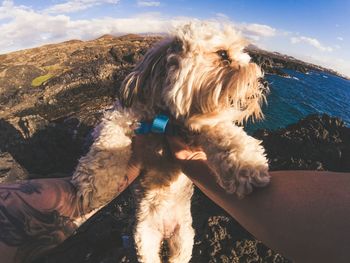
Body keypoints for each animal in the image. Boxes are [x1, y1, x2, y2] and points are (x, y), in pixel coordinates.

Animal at [72, 21, 270, 263]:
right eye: (223, 54)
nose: (261, 81)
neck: (167, 120)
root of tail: (165, 232)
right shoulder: (124, 115)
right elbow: (109, 140)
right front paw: (96, 182)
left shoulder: (199, 127)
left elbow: (222, 131)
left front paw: (246, 164)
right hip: (144, 238)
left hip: (183, 239)